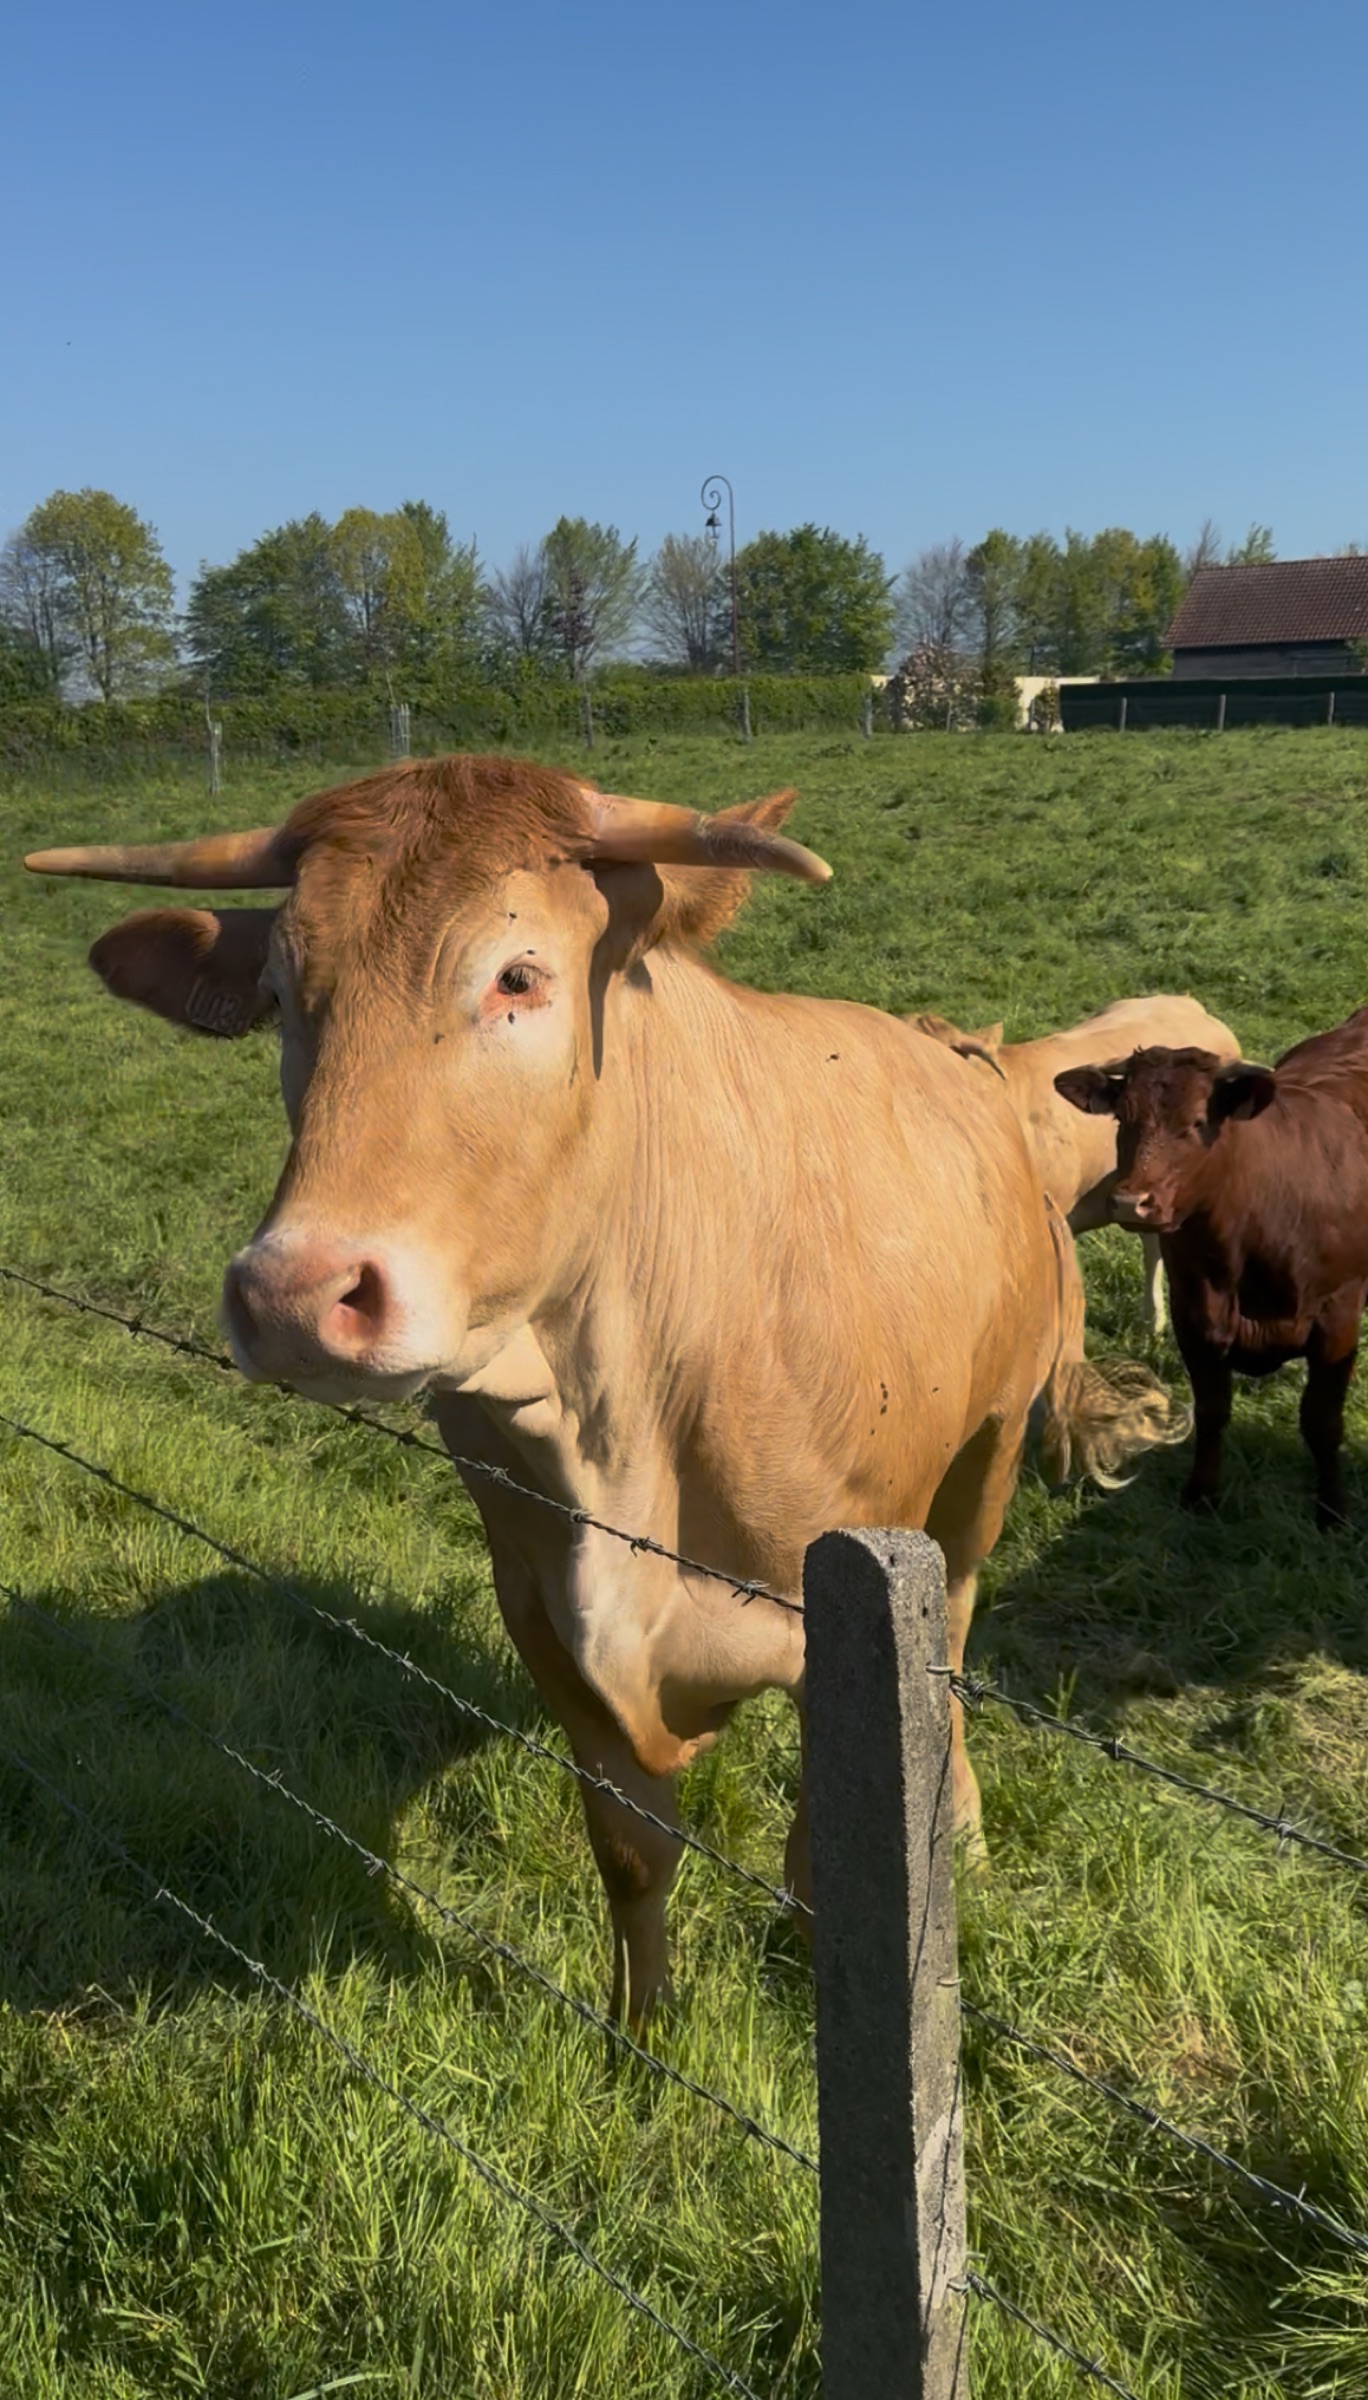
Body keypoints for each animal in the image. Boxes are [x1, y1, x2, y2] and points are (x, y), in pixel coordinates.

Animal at [26, 755, 1182, 2021]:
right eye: (281, 994)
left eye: (519, 975)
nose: (292, 1295)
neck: (614, 1413)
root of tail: (962, 1047)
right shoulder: (540, 1612)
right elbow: (630, 1851)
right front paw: (643, 2028)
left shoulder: (837, 1633)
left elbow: (827, 1869)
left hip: (984, 1461)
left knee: (961, 1633)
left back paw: (961, 1815)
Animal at [1055, 1010, 1368, 1527]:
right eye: (1122, 1117)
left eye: (1198, 1122)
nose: (1131, 1202)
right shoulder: (1195, 1318)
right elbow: (1212, 1410)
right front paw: (1201, 1493)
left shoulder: (1336, 1319)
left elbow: (1322, 1422)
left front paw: (1333, 1509)